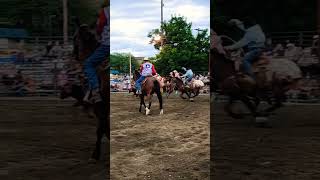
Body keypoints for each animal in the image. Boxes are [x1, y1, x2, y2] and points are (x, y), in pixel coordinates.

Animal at [60, 23, 110, 161]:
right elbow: (103, 128)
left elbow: (100, 129)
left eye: (74, 37)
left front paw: (95, 155)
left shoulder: (100, 109)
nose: (74, 55)